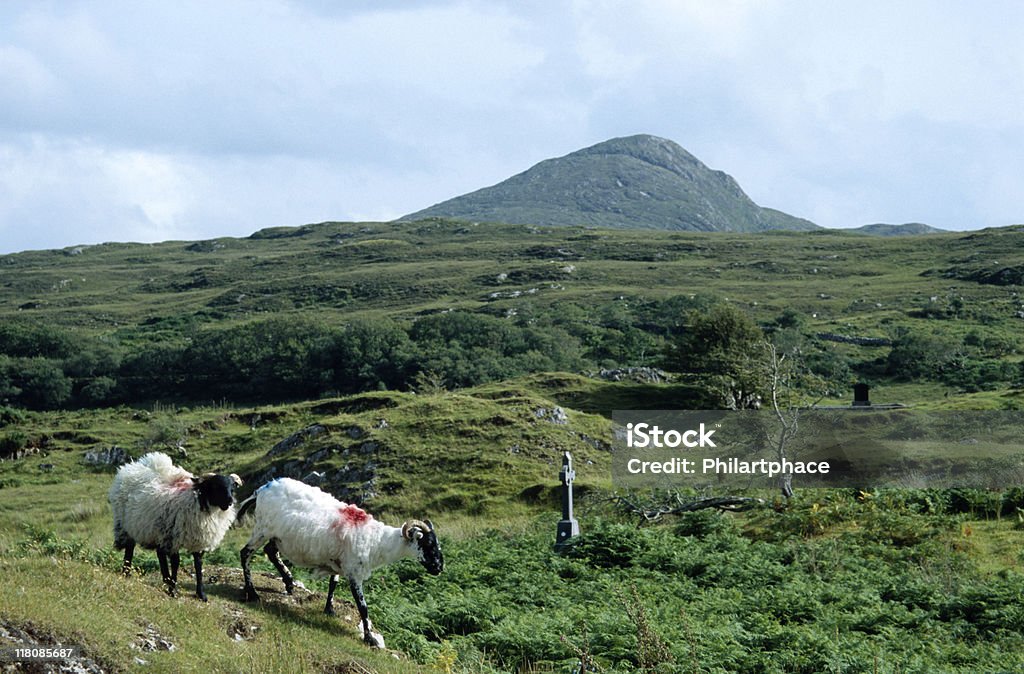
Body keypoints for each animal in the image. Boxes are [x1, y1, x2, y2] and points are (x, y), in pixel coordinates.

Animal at [109, 450, 241, 598]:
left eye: (232, 488)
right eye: (216, 486)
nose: (230, 501)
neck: (199, 501)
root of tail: (132, 466)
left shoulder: (197, 539)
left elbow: (198, 564)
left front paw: (200, 594)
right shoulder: (173, 537)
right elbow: (176, 562)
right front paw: (173, 590)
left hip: (158, 530)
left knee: (160, 554)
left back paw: (165, 579)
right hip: (126, 525)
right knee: (130, 548)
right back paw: (126, 573)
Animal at [237, 475, 442, 643]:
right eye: (428, 543)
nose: (439, 568)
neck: (377, 541)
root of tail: (262, 489)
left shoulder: (337, 562)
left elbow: (333, 584)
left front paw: (329, 609)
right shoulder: (354, 573)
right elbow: (363, 606)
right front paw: (369, 638)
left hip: (278, 536)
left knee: (271, 552)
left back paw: (288, 582)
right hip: (263, 529)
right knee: (245, 553)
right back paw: (252, 593)